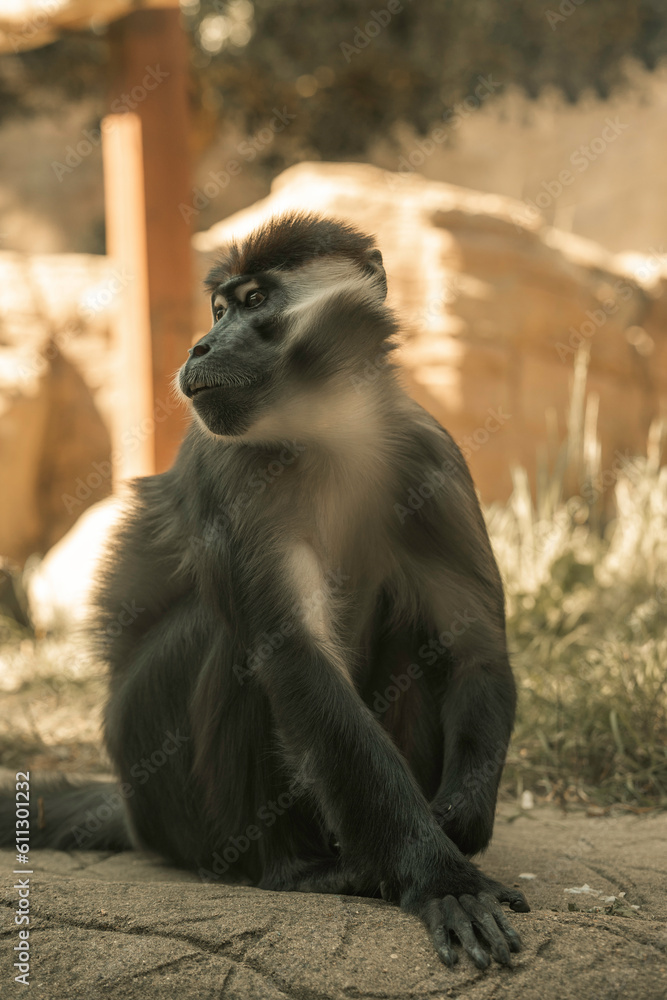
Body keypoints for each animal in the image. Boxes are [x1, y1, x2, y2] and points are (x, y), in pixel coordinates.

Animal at [1, 215, 532, 972]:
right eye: (218, 310)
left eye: (254, 302)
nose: (201, 344)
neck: (327, 432)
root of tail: (132, 811)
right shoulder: (230, 469)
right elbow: (295, 660)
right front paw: (438, 875)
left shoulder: (432, 458)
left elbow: (474, 648)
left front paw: (457, 822)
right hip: (160, 777)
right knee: (233, 647)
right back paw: (304, 870)